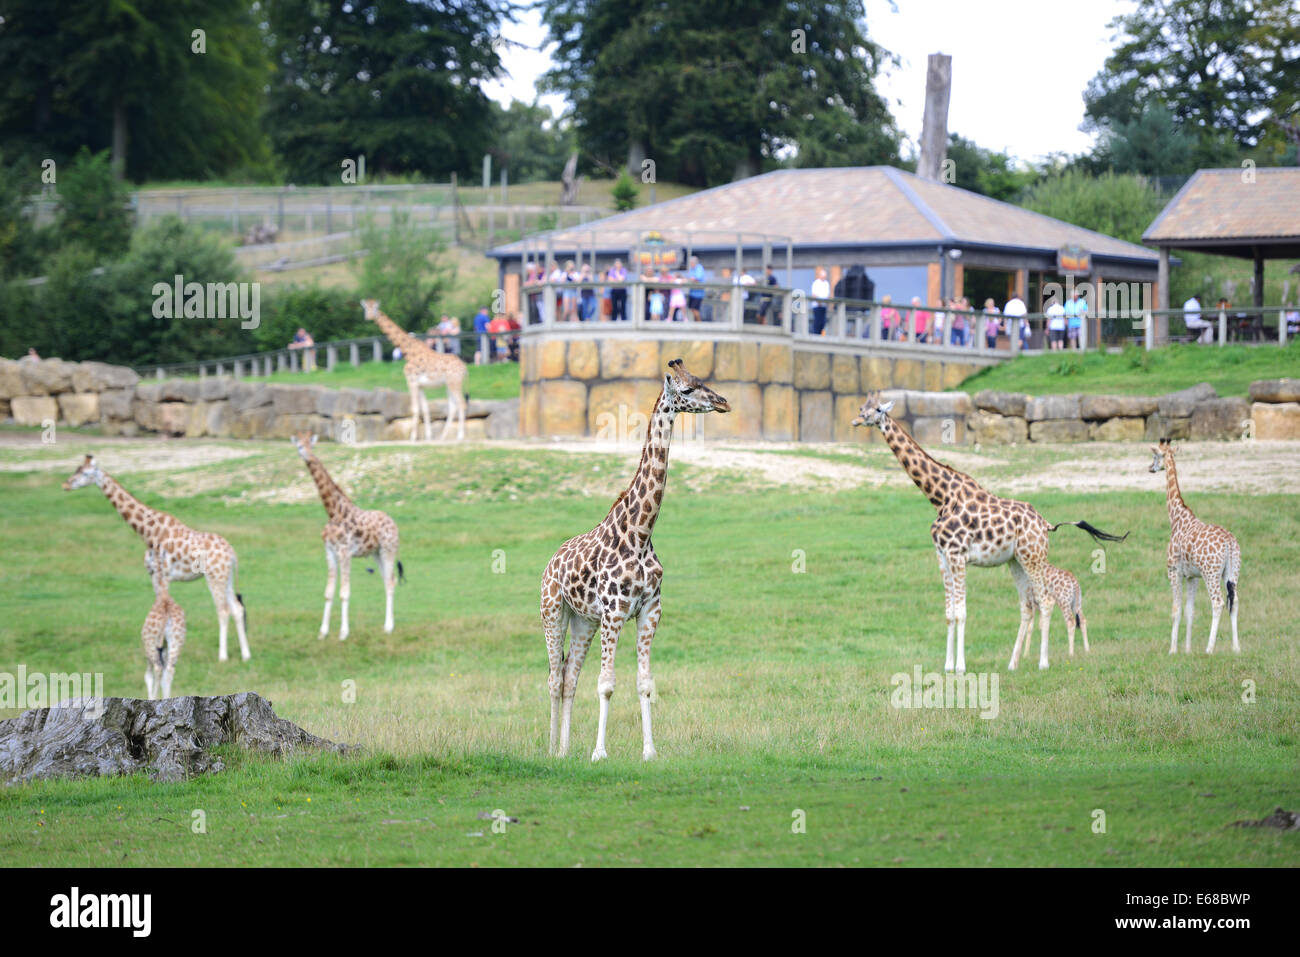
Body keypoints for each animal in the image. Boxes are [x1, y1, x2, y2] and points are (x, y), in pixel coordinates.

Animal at [63, 455, 250, 660]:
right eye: (76, 469)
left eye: (85, 473)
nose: (65, 485)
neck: (148, 533)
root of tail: (232, 553)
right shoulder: (153, 575)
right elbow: (158, 608)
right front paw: (162, 648)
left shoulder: (163, 576)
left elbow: (163, 610)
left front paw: (163, 650)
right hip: (226, 576)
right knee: (237, 608)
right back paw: (246, 655)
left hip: (215, 576)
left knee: (223, 610)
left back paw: (222, 656)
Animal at [291, 434, 400, 642]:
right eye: (299, 446)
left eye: (311, 445)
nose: (308, 457)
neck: (333, 513)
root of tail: (394, 523)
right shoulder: (330, 552)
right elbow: (328, 593)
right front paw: (323, 632)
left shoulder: (345, 552)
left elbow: (344, 593)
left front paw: (343, 633)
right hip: (376, 553)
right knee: (387, 580)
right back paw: (386, 625)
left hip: (388, 549)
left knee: (391, 582)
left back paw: (389, 627)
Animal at [361, 297, 467, 442]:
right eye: (366, 308)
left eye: (375, 308)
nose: (368, 317)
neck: (409, 352)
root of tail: (464, 367)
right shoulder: (420, 385)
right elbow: (425, 409)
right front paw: (428, 437)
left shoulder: (411, 381)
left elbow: (415, 409)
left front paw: (412, 438)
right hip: (449, 384)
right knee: (453, 406)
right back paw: (442, 437)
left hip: (454, 381)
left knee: (461, 403)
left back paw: (460, 436)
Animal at [852, 392, 1128, 676]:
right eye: (861, 407)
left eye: (876, 409)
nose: (856, 421)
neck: (940, 498)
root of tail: (1046, 524)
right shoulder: (942, 556)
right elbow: (949, 613)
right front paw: (947, 666)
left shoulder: (958, 555)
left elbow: (961, 612)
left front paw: (960, 667)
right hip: (1015, 561)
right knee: (1027, 607)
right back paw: (1012, 664)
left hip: (1034, 557)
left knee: (1046, 602)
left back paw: (1043, 663)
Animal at [1154, 436, 1242, 655]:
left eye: (1155, 456)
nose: (1151, 468)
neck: (1176, 517)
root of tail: (1229, 543)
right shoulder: (1192, 576)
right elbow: (1190, 611)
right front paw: (1187, 650)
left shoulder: (1174, 571)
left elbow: (1176, 609)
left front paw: (1173, 650)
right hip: (1232, 571)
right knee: (1234, 601)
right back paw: (1236, 647)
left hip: (1211, 573)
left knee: (1218, 602)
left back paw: (1209, 649)